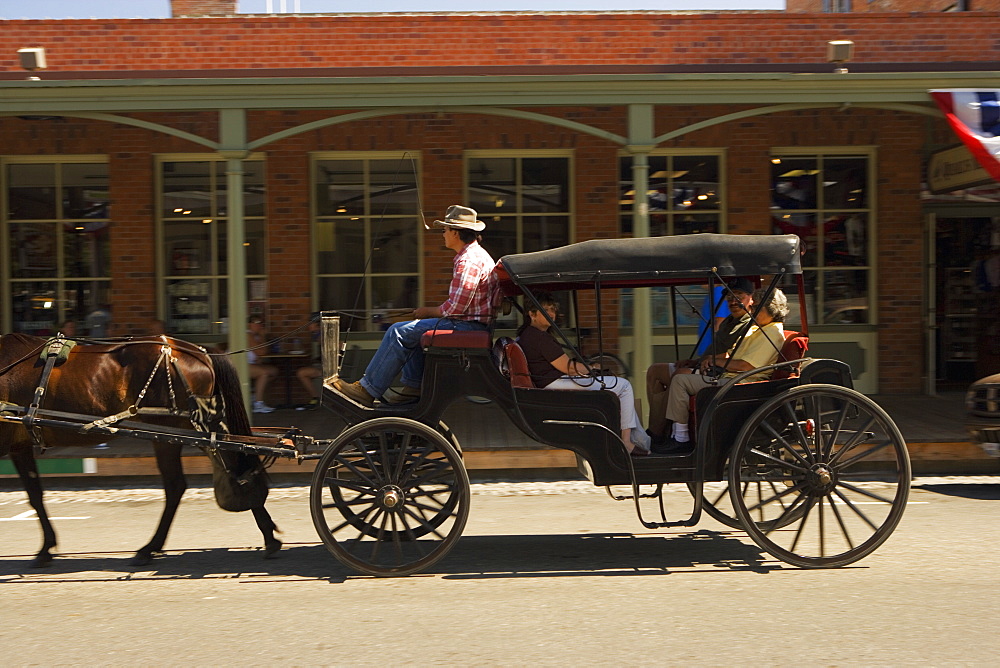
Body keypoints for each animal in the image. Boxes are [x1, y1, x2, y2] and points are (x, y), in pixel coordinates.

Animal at [0, 332, 282, 568]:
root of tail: (200, 352)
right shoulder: (19, 446)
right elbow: (35, 494)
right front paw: (47, 548)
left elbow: (34, 495)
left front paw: (45, 549)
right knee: (232, 470)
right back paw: (268, 535)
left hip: (176, 434)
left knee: (184, 484)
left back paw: (149, 548)